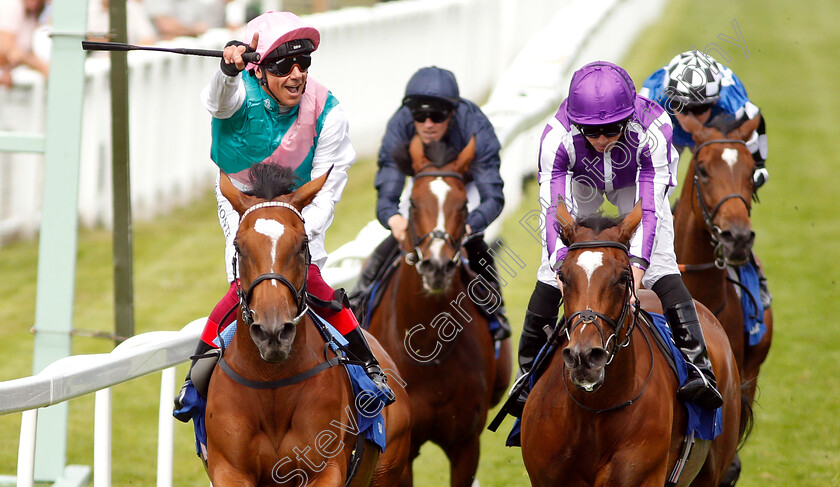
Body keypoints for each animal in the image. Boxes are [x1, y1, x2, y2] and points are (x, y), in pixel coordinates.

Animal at [205, 170, 412, 486]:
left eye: (303, 244)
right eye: (239, 246)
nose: (273, 332)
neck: (271, 382)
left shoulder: (325, 469)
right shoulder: (229, 469)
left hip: (387, 470)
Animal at [368, 134, 512, 487]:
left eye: (463, 206)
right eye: (413, 203)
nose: (437, 266)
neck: (428, 349)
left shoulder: (465, 444)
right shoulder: (403, 453)